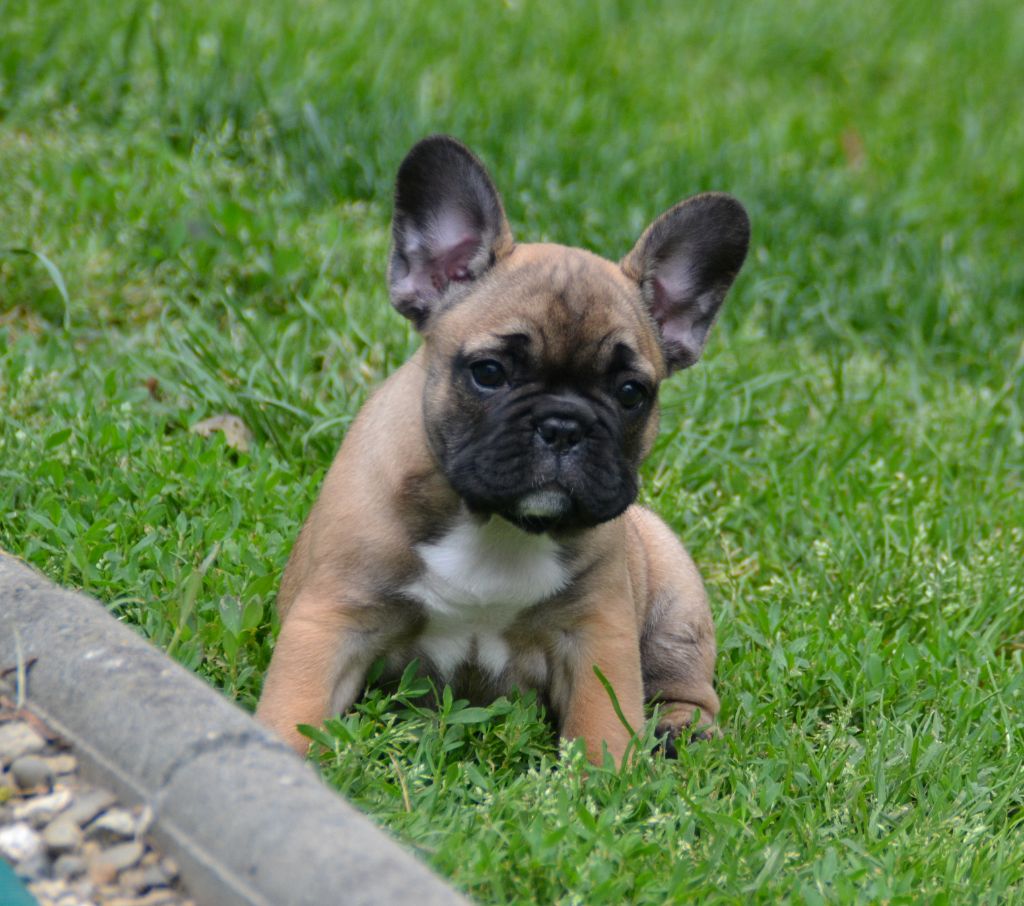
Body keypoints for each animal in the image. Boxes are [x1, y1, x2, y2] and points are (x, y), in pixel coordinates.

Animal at [258, 134, 753, 761]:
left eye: (631, 393)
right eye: (489, 373)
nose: (564, 425)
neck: (496, 523)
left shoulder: (597, 635)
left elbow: (603, 722)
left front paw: (602, 777)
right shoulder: (332, 618)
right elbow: (297, 707)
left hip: (675, 608)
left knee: (686, 684)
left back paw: (679, 729)